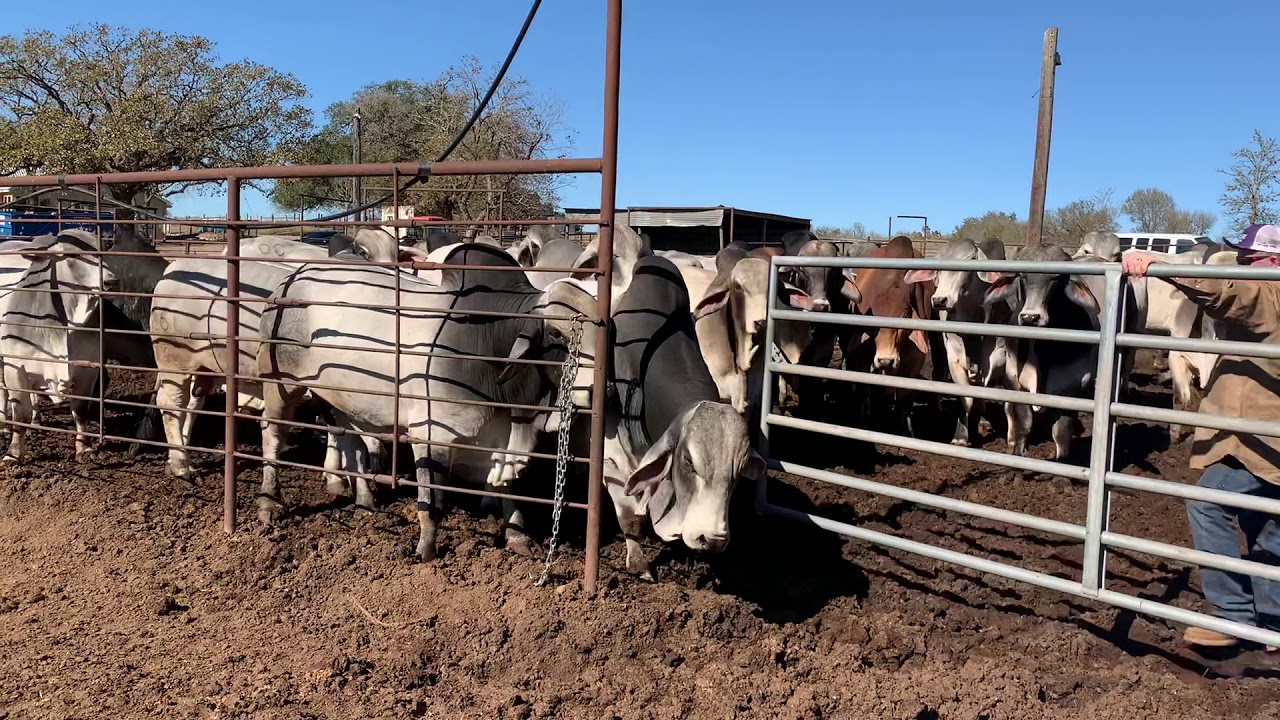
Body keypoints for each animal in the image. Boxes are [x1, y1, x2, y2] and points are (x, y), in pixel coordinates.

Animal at [0, 232, 118, 461]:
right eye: (73, 254)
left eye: (103, 249)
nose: (110, 281)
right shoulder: (16, 366)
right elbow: (20, 414)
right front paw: (14, 453)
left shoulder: (88, 367)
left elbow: (80, 410)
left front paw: (84, 446)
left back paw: (37, 418)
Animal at [256, 243, 599, 561]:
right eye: (555, 333)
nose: (596, 389)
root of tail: (291, 280)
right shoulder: (431, 435)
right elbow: (432, 503)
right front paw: (425, 552)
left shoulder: (504, 440)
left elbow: (509, 491)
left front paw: (518, 538)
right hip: (278, 384)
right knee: (272, 435)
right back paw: (268, 503)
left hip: (341, 399)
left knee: (350, 442)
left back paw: (365, 501)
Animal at [602, 255, 765, 579]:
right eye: (689, 461)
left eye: (740, 469)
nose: (711, 538)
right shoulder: (612, 457)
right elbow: (630, 516)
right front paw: (639, 563)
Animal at [903, 237, 1012, 446]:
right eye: (936, 265)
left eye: (971, 259)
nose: (939, 299)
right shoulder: (954, 358)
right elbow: (966, 400)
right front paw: (961, 437)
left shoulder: (998, 360)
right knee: (938, 374)